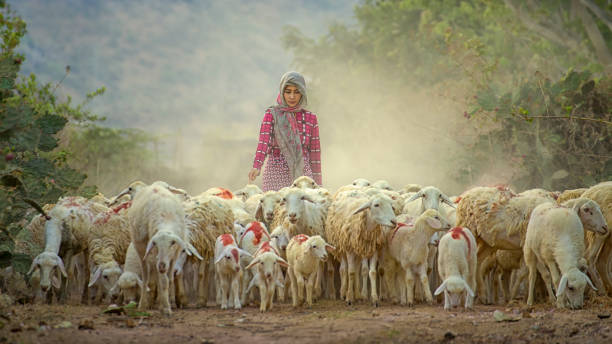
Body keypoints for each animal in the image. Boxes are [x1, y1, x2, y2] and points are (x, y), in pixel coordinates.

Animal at [130, 184, 200, 316]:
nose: (162, 265)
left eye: (172, 243)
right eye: (155, 244)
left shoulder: (174, 257)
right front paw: (166, 308)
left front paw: (166, 304)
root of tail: (154, 185)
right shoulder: (155, 255)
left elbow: (169, 280)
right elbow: (162, 281)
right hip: (141, 251)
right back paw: (143, 305)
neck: (166, 219)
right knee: (146, 276)